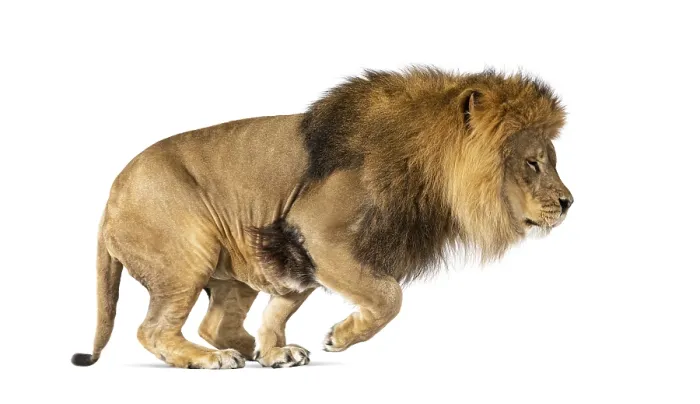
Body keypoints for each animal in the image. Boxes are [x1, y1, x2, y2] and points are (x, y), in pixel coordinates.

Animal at [72, 67, 573, 369]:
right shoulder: (317, 235)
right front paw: (342, 335)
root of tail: (109, 196)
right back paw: (211, 359)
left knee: (214, 324)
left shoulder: (295, 257)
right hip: (187, 255)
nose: (570, 202)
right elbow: (389, 296)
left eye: (550, 160)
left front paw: (277, 348)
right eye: (532, 163)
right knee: (153, 329)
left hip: (236, 260)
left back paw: (261, 353)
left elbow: (280, 307)